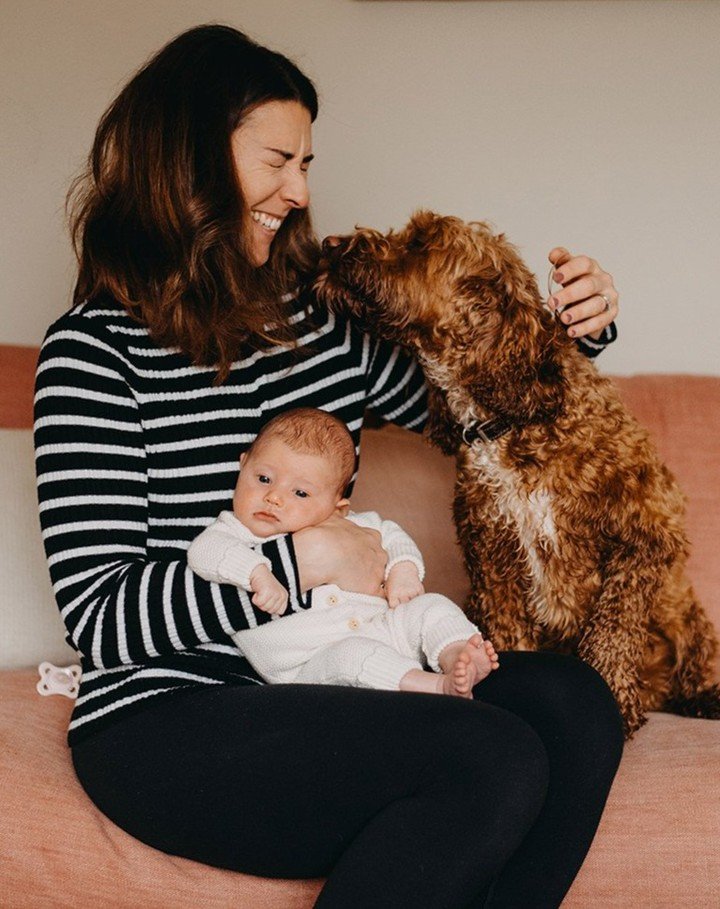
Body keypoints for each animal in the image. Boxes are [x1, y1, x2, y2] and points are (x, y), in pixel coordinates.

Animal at [318, 209, 720, 736]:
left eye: (422, 242)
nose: (327, 243)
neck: (513, 420)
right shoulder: (493, 555)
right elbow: (509, 632)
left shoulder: (647, 533)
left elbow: (615, 627)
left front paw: (615, 700)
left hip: (683, 611)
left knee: (695, 655)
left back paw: (704, 697)